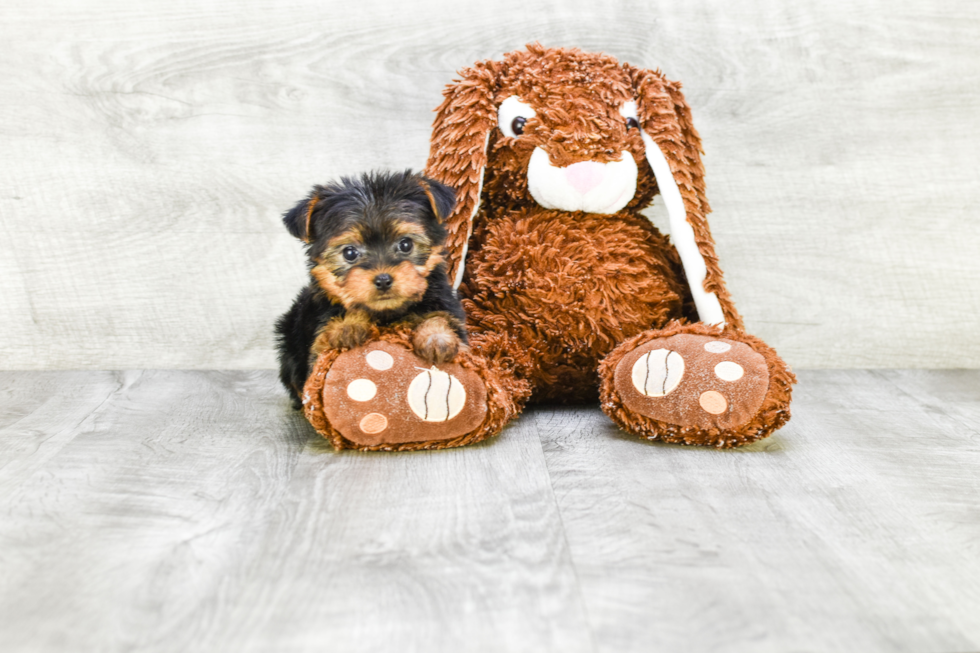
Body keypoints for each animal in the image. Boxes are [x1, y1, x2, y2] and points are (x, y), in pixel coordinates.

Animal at [278, 168, 468, 408]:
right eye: (350, 253)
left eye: (406, 244)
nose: (383, 279)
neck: (386, 313)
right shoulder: (318, 335)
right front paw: (348, 326)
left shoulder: (445, 303)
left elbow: (442, 317)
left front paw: (437, 338)